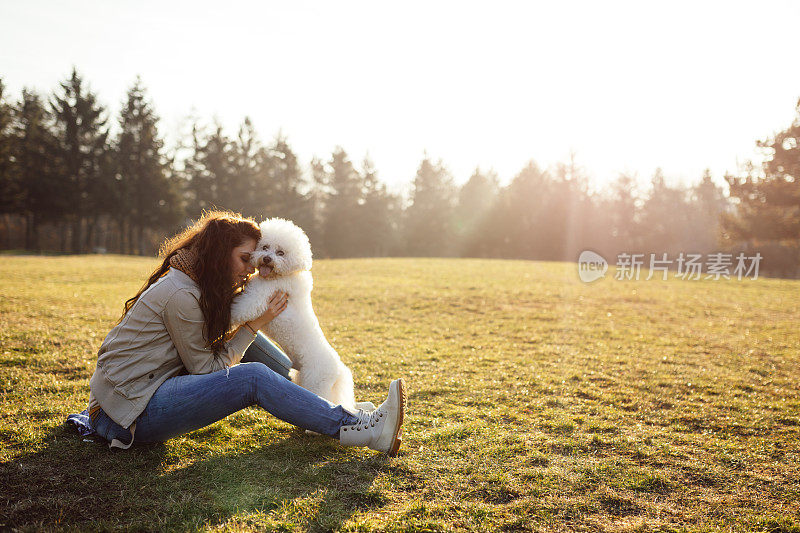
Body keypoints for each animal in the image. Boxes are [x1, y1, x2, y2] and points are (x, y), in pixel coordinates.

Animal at [231, 216, 362, 412]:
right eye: (265, 247)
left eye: (281, 252)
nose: (267, 258)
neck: (282, 275)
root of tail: (338, 369)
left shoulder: (258, 297)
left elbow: (242, 309)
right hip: (303, 378)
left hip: (315, 382)